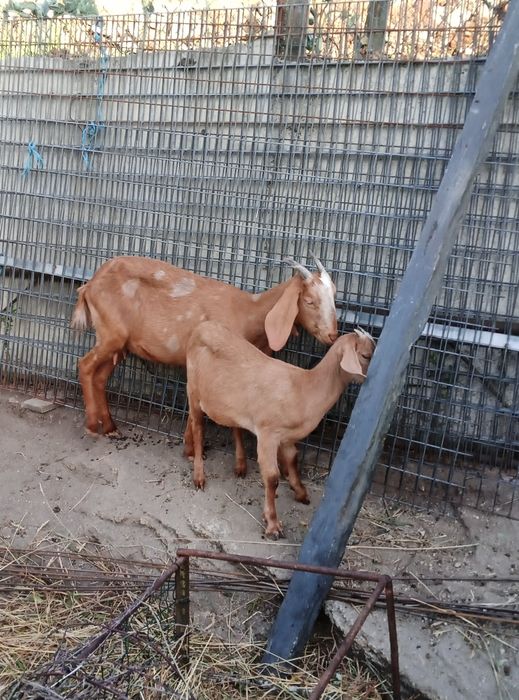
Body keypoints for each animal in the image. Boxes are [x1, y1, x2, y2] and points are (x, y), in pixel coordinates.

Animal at [71, 255, 338, 474]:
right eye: (309, 300)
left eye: (334, 296)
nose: (332, 335)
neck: (249, 312)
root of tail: (90, 284)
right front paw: (192, 452)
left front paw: (192, 448)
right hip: (111, 335)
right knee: (85, 366)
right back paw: (92, 426)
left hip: (119, 343)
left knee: (100, 377)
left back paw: (110, 427)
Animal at [185, 323, 375, 538]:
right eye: (366, 355)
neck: (305, 389)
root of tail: (203, 327)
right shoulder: (268, 434)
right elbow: (272, 477)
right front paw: (273, 524)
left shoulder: (287, 437)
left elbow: (293, 459)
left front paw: (301, 493)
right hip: (193, 391)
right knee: (198, 427)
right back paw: (199, 476)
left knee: (234, 426)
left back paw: (240, 465)